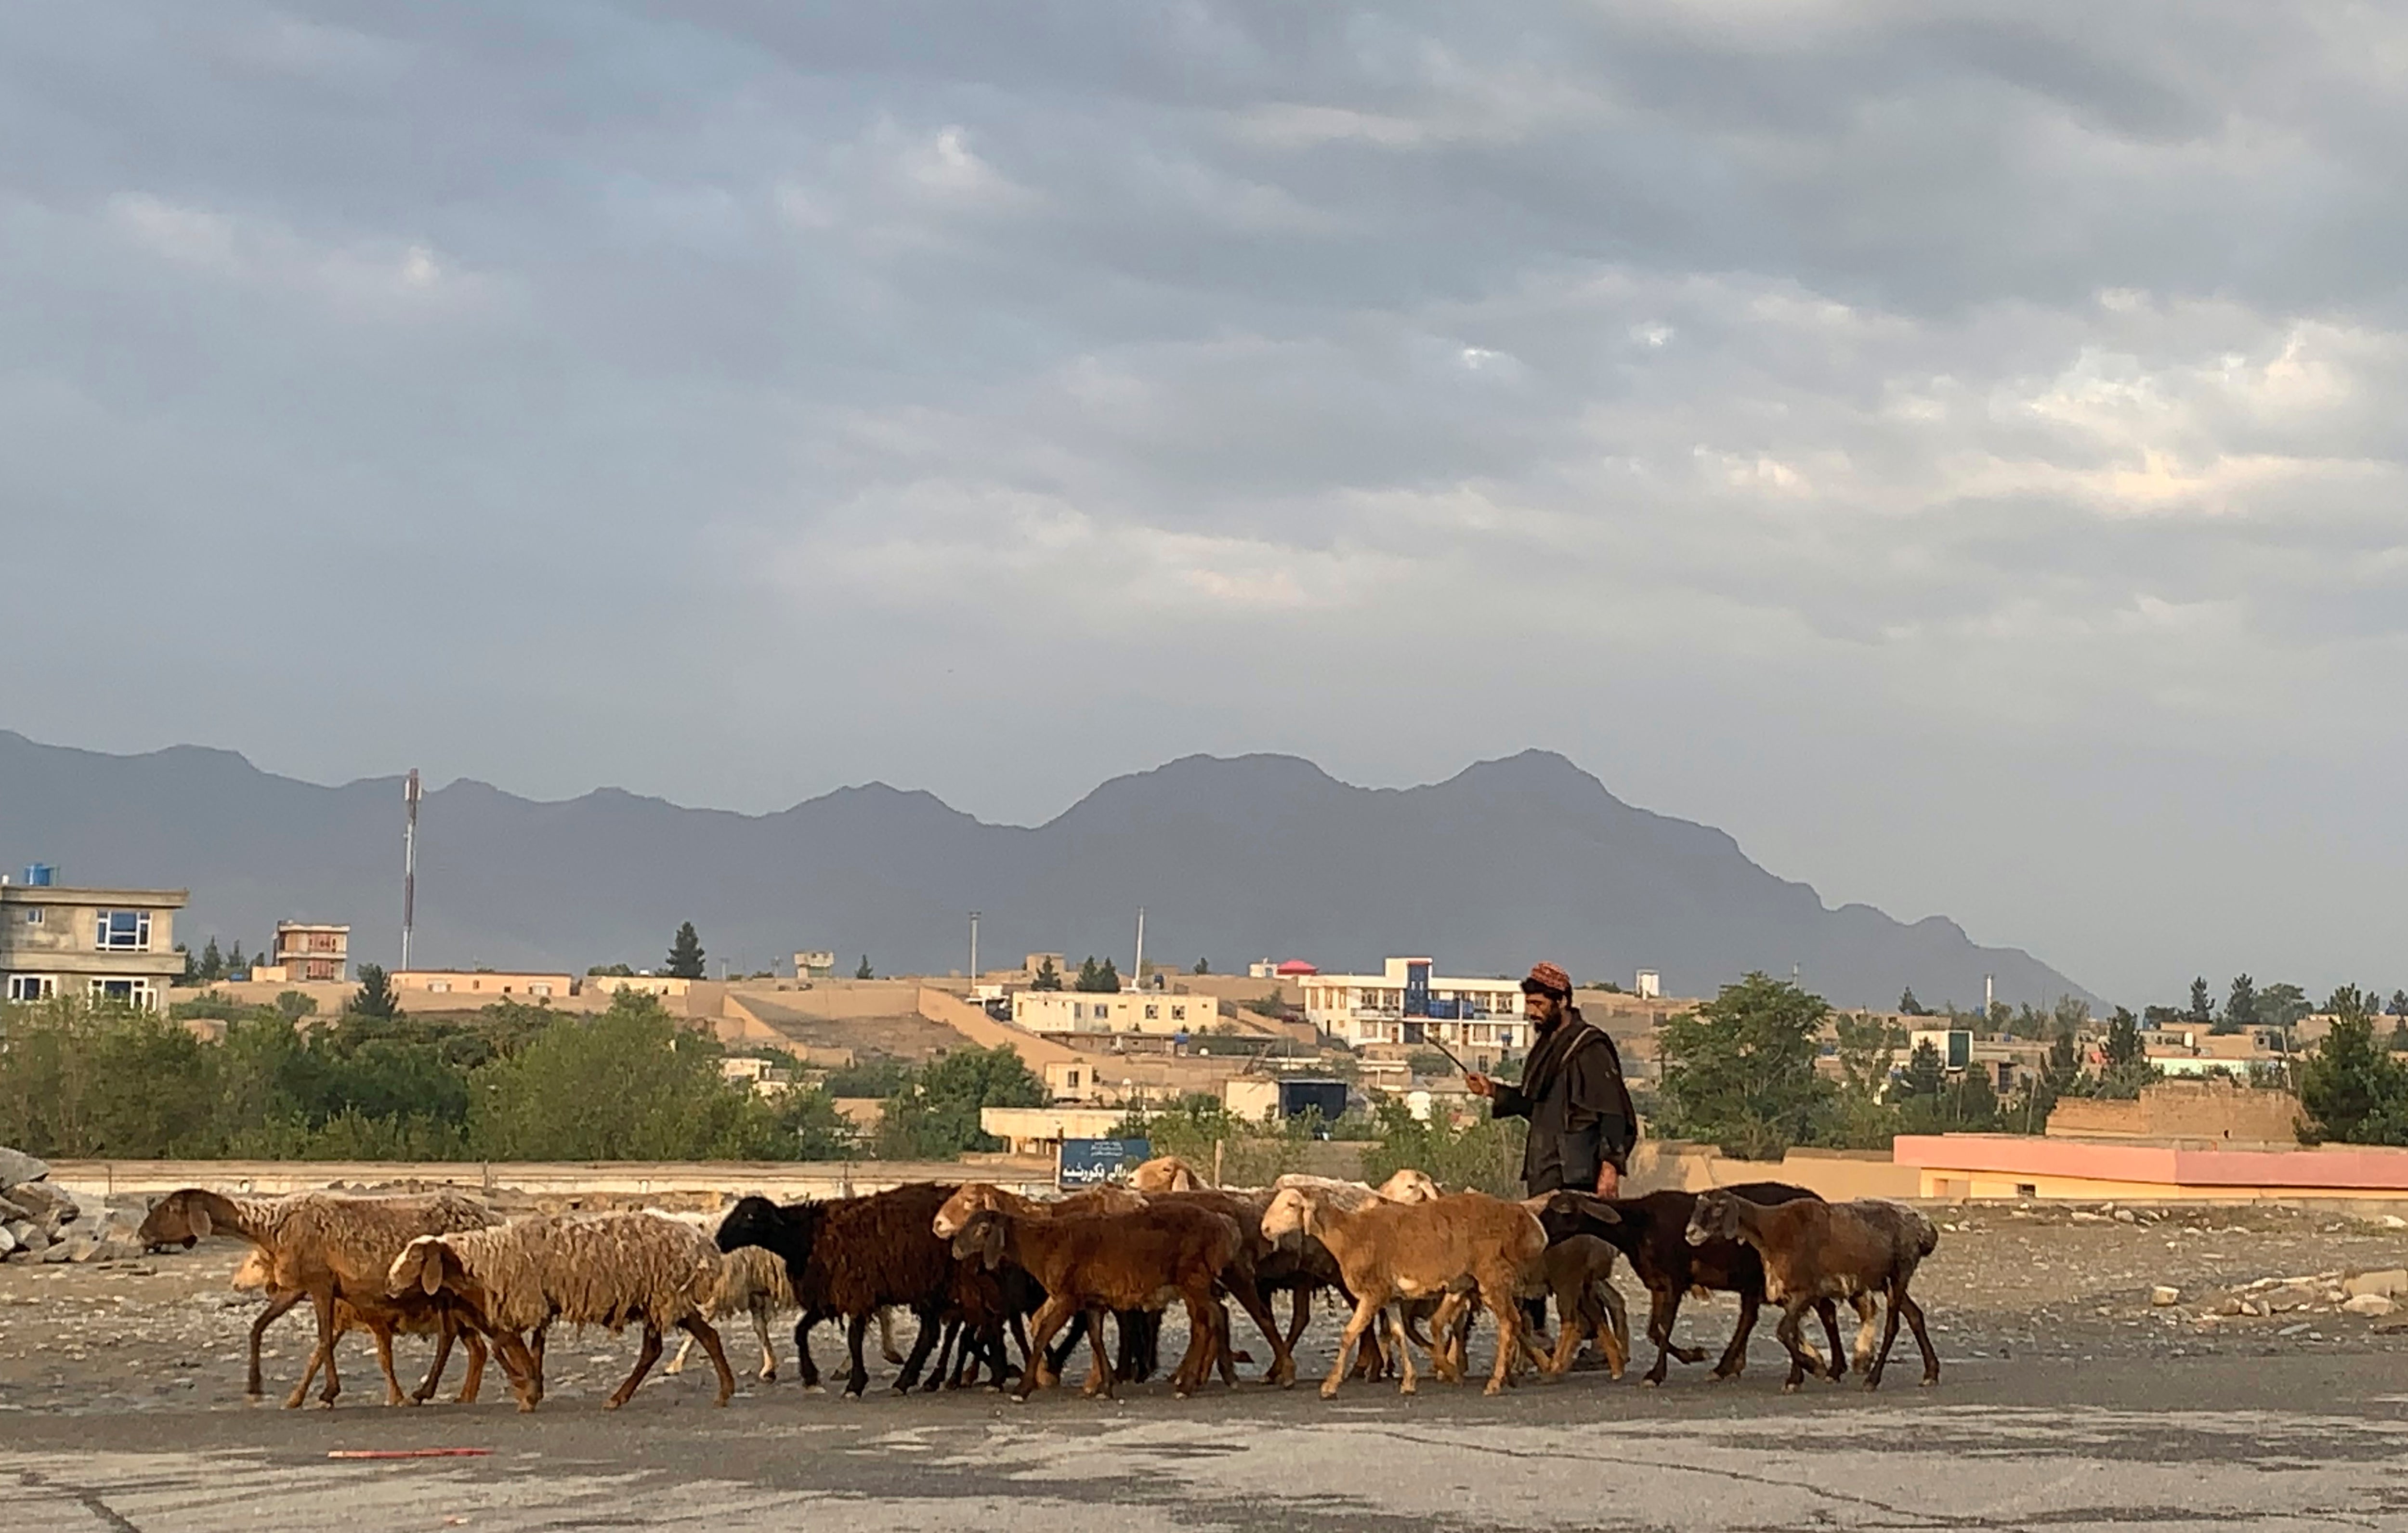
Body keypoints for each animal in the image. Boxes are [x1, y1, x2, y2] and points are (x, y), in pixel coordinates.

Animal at [134, 1184, 501, 1415]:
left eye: (171, 1208)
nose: (141, 1234)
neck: (270, 1230)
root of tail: (495, 1218)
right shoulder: (296, 1287)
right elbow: (258, 1327)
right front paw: (255, 1386)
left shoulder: (321, 1282)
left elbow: (324, 1339)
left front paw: (328, 1392)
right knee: (465, 1341)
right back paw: (457, 1395)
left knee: (452, 1336)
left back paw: (426, 1393)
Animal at [388, 1208, 732, 1415]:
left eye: (415, 1259)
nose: (389, 1286)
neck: (482, 1262)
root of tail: (701, 1244)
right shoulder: (534, 1307)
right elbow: (524, 1348)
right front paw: (531, 1388)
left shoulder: (524, 1303)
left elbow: (507, 1347)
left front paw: (528, 1390)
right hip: (665, 1299)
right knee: (699, 1337)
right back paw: (721, 1391)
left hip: (664, 1296)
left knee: (666, 1345)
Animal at [944, 1193, 1243, 1396]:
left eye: (981, 1229)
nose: (955, 1250)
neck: (1041, 1245)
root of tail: (1224, 1227)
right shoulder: (1092, 1300)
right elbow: (1096, 1338)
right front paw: (1106, 1386)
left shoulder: (1068, 1297)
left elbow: (1043, 1336)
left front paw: (1023, 1389)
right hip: (1194, 1283)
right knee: (1210, 1319)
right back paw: (1211, 1378)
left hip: (1194, 1279)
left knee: (1209, 1319)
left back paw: (1191, 1384)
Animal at [1262, 1184, 1541, 1396]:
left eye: (1291, 1205)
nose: (1265, 1229)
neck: (1350, 1236)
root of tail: (1522, 1218)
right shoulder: (1391, 1298)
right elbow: (1398, 1335)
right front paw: (1409, 1382)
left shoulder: (1373, 1293)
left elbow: (1349, 1335)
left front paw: (1330, 1386)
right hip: (1474, 1283)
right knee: (1512, 1322)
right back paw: (1506, 1377)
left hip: (1491, 1277)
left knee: (1507, 1323)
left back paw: (1494, 1382)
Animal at [1686, 1189, 1946, 1396]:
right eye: (1698, 1207)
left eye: (1719, 1208)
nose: (1690, 1232)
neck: (1770, 1232)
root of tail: (1926, 1229)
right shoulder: (1790, 1294)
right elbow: (1789, 1334)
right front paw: (1798, 1378)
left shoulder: (1805, 1292)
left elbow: (1783, 1332)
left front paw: (1815, 1369)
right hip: (1886, 1280)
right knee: (1915, 1315)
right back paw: (1930, 1373)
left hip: (1901, 1271)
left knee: (1893, 1325)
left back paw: (1872, 1379)